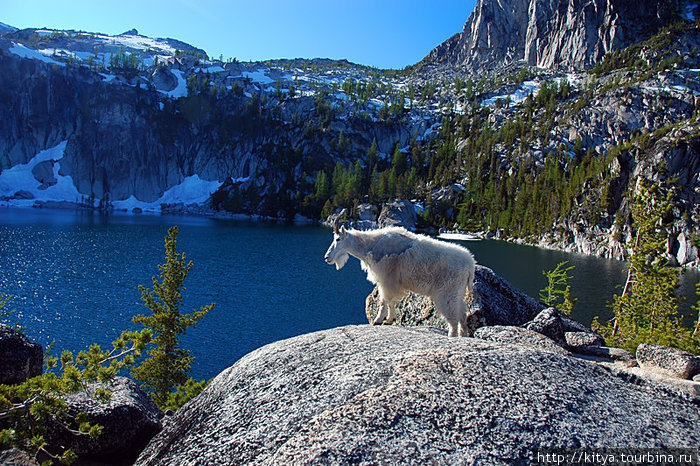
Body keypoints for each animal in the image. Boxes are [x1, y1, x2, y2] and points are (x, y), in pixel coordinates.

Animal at [324, 223, 476, 336]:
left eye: (338, 239)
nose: (327, 257)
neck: (371, 245)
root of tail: (470, 264)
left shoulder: (386, 279)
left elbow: (384, 301)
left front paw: (378, 320)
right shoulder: (391, 283)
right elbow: (391, 302)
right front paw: (389, 320)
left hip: (447, 293)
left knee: (453, 317)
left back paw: (452, 336)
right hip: (458, 292)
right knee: (462, 314)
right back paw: (463, 335)